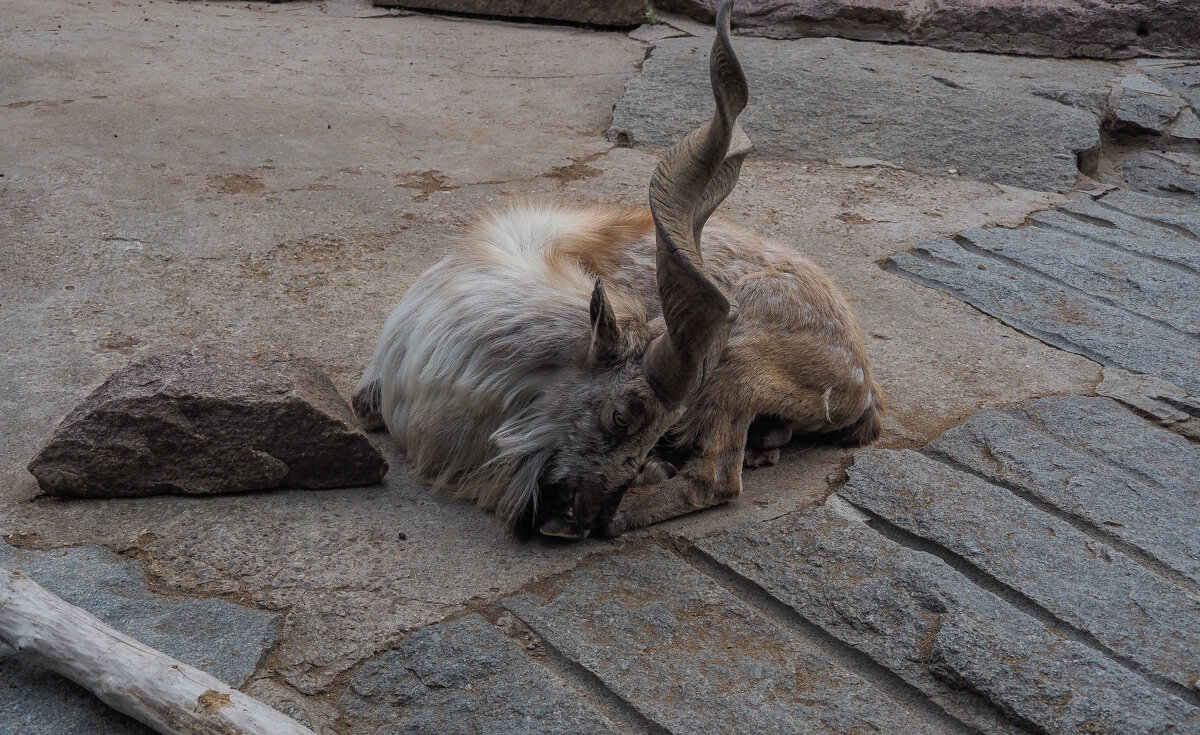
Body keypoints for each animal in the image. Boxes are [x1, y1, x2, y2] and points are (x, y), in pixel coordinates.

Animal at [350, 0, 888, 540]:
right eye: (622, 417)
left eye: (657, 430)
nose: (579, 519)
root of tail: (861, 383)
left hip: (741, 360)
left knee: (714, 478)